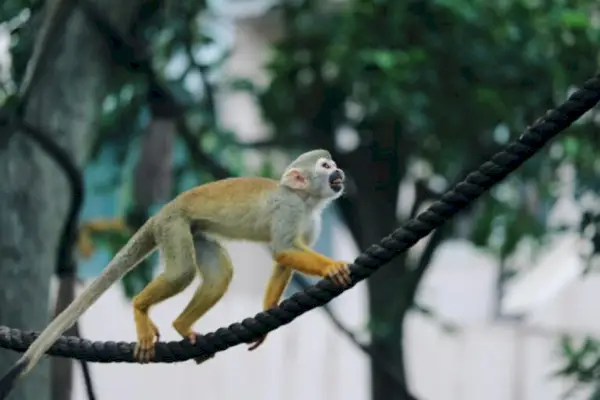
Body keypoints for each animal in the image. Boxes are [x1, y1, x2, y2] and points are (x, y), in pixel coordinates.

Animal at [3, 149, 352, 384]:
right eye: (326, 166)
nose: (340, 172)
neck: (305, 200)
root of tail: (161, 212)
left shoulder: (310, 221)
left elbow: (284, 258)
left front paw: (266, 317)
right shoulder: (289, 209)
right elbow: (283, 250)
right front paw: (333, 268)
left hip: (192, 229)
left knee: (220, 272)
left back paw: (182, 325)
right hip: (173, 226)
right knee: (183, 272)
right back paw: (140, 307)